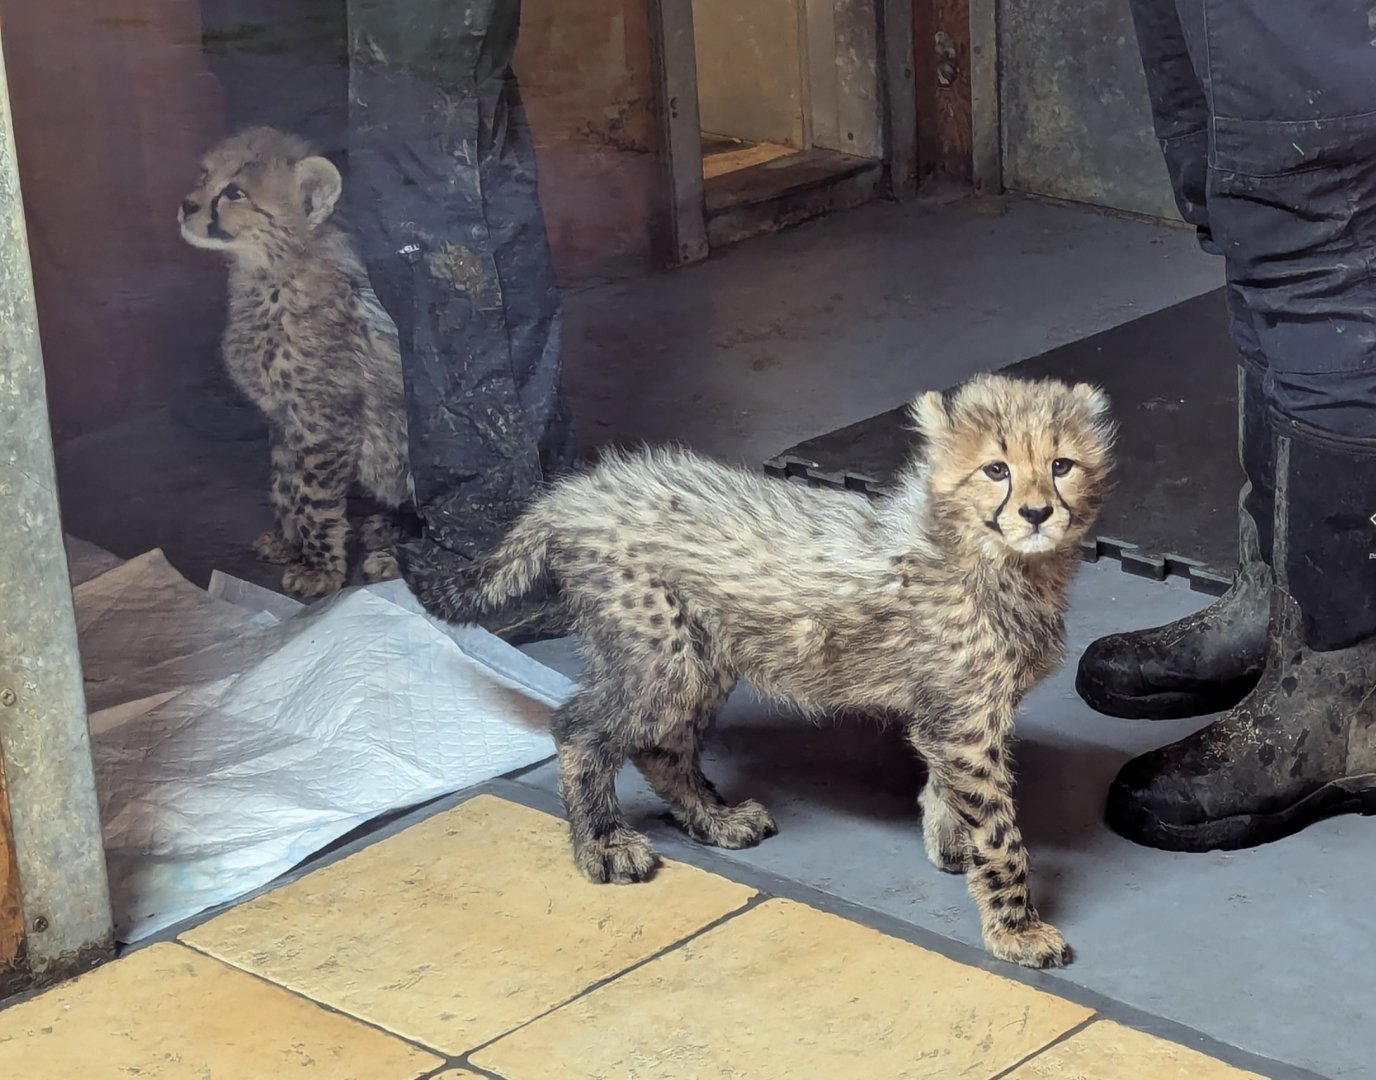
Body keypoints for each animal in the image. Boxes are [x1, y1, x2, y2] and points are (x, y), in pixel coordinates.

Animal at [178, 126, 414, 599]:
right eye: (204, 174)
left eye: (234, 192)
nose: (187, 205)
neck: (270, 274)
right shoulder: (285, 416)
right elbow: (285, 484)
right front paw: (288, 544)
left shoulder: (324, 420)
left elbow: (313, 497)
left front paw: (319, 568)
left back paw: (392, 554)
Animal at [404, 371, 1116, 969]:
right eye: (997, 469)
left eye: (1061, 466)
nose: (1036, 513)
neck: (992, 556)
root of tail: (578, 492)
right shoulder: (966, 718)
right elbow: (1001, 830)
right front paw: (1016, 926)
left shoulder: (954, 712)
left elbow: (948, 785)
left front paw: (950, 840)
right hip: (661, 654)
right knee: (580, 728)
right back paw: (603, 843)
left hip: (700, 654)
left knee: (660, 743)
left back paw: (714, 820)